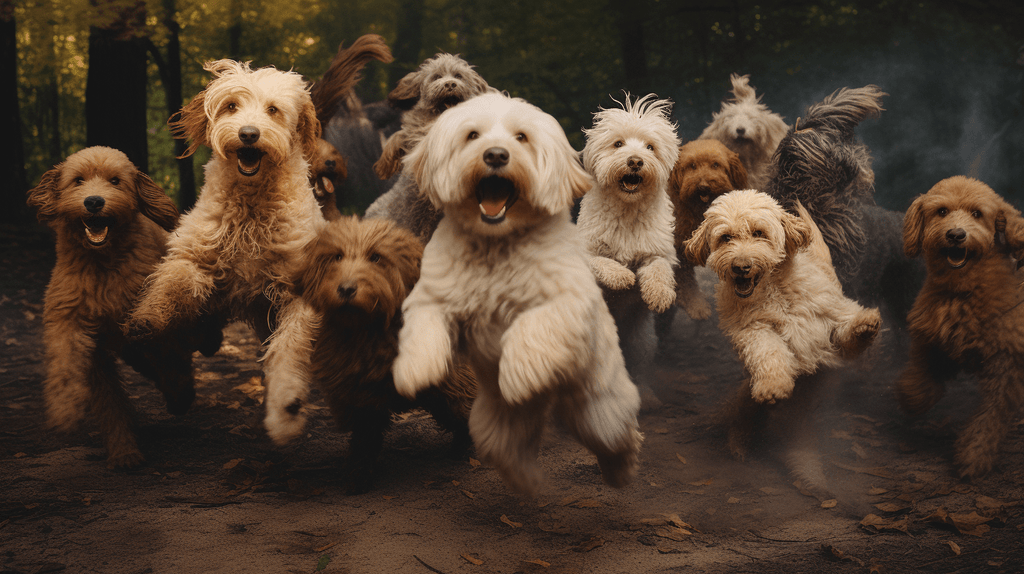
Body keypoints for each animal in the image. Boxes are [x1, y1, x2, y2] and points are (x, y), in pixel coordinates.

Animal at [27, 145, 222, 468]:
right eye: (78, 180)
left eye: (115, 181)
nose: (94, 201)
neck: (102, 265)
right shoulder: (74, 323)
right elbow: (94, 388)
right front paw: (120, 449)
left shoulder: (149, 317)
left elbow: (171, 352)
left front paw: (180, 392)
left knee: (190, 335)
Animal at [122, 59, 327, 444]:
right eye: (231, 105)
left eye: (273, 110)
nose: (248, 134)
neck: (250, 208)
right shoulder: (196, 256)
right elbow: (171, 282)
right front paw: (147, 318)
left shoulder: (295, 294)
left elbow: (288, 349)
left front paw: (286, 406)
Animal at [292, 215, 475, 493]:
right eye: (336, 257)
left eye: (376, 257)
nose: (346, 289)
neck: (369, 331)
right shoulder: (360, 396)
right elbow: (364, 439)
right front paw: (358, 474)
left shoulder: (452, 381)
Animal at [391, 91, 638, 495]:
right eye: (472, 135)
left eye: (521, 137)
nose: (495, 155)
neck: (497, 242)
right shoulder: (432, 296)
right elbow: (423, 326)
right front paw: (414, 369)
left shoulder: (569, 301)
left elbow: (532, 324)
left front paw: (519, 373)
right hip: (494, 423)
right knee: (510, 452)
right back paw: (529, 482)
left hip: (600, 406)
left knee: (615, 437)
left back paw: (622, 470)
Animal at [897, 175, 1024, 478]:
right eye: (941, 211)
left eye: (977, 214)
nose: (956, 234)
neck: (962, 291)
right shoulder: (932, 336)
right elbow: (922, 371)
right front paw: (913, 397)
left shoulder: (1005, 365)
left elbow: (990, 417)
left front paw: (974, 456)